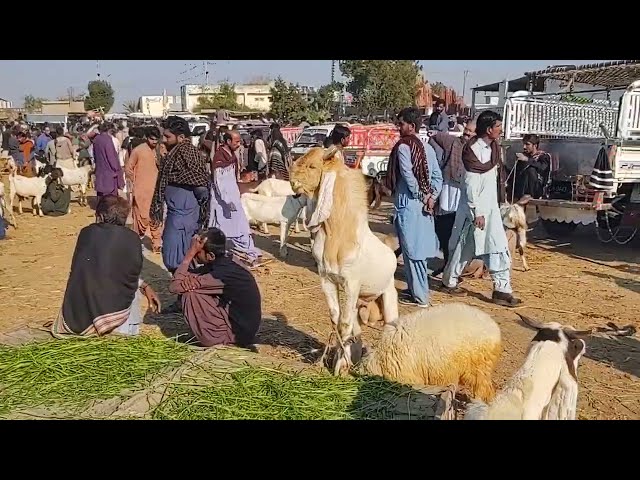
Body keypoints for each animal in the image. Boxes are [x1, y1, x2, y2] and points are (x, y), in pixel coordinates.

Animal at [292, 146, 400, 376]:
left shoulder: (352, 284)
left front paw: (340, 367)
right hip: (361, 303)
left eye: (312, 166)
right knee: (357, 327)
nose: (293, 182)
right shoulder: (327, 279)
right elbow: (336, 318)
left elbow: (344, 323)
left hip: (388, 294)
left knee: (389, 327)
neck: (338, 235)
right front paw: (328, 361)